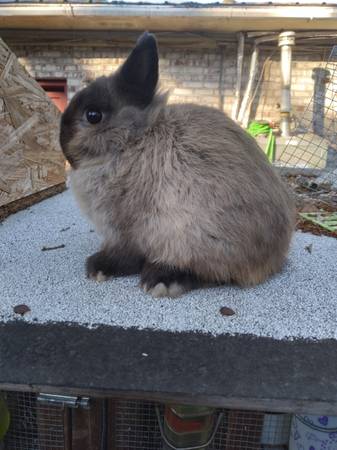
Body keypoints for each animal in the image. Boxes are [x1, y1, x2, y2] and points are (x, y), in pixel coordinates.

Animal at [60, 31, 294, 298]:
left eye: (93, 116)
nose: (62, 144)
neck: (132, 141)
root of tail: (273, 258)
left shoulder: (125, 230)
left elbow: (126, 254)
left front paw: (100, 267)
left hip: (195, 236)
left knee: (210, 272)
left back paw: (161, 280)